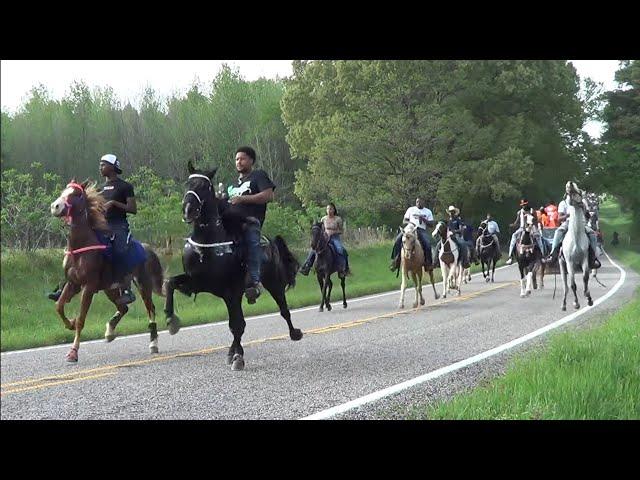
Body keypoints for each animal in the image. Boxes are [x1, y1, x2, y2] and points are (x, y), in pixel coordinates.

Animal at [50, 178, 165, 362]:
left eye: (77, 194)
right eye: (63, 191)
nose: (55, 206)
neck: (80, 247)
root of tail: (147, 248)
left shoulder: (88, 287)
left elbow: (82, 319)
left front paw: (73, 352)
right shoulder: (73, 283)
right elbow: (59, 306)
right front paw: (70, 323)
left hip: (143, 285)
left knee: (150, 309)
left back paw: (153, 344)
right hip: (110, 289)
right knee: (123, 308)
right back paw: (110, 332)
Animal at [162, 162, 302, 372]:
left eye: (205, 187)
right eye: (188, 183)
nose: (188, 209)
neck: (209, 244)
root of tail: (271, 242)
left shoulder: (231, 291)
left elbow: (237, 325)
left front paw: (238, 358)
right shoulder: (196, 282)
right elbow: (170, 283)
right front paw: (171, 320)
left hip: (273, 283)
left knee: (283, 309)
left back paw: (294, 333)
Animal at [560, 181, 596, 312]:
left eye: (579, 190)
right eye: (567, 191)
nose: (570, 183)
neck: (575, 239)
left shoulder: (584, 259)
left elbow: (585, 278)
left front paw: (588, 298)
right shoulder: (569, 262)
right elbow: (572, 284)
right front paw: (576, 303)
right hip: (562, 265)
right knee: (565, 286)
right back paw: (564, 304)